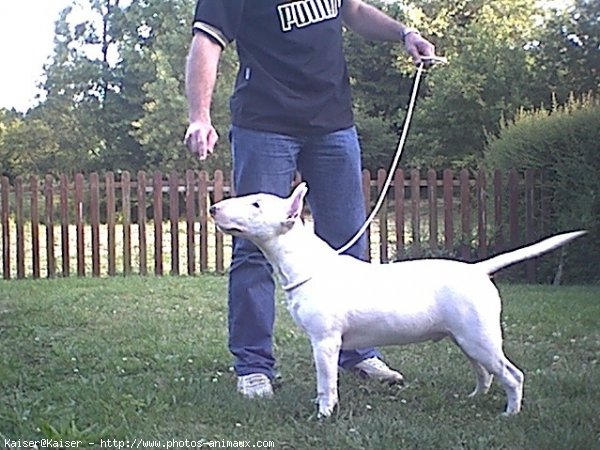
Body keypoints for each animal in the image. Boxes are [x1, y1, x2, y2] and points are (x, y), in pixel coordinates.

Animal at [211, 182, 584, 418]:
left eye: (256, 204)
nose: (213, 208)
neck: (305, 264)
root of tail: (478, 270)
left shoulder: (325, 342)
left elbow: (326, 382)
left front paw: (324, 414)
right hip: (466, 338)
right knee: (485, 373)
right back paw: (474, 398)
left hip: (480, 337)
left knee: (512, 374)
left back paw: (511, 413)